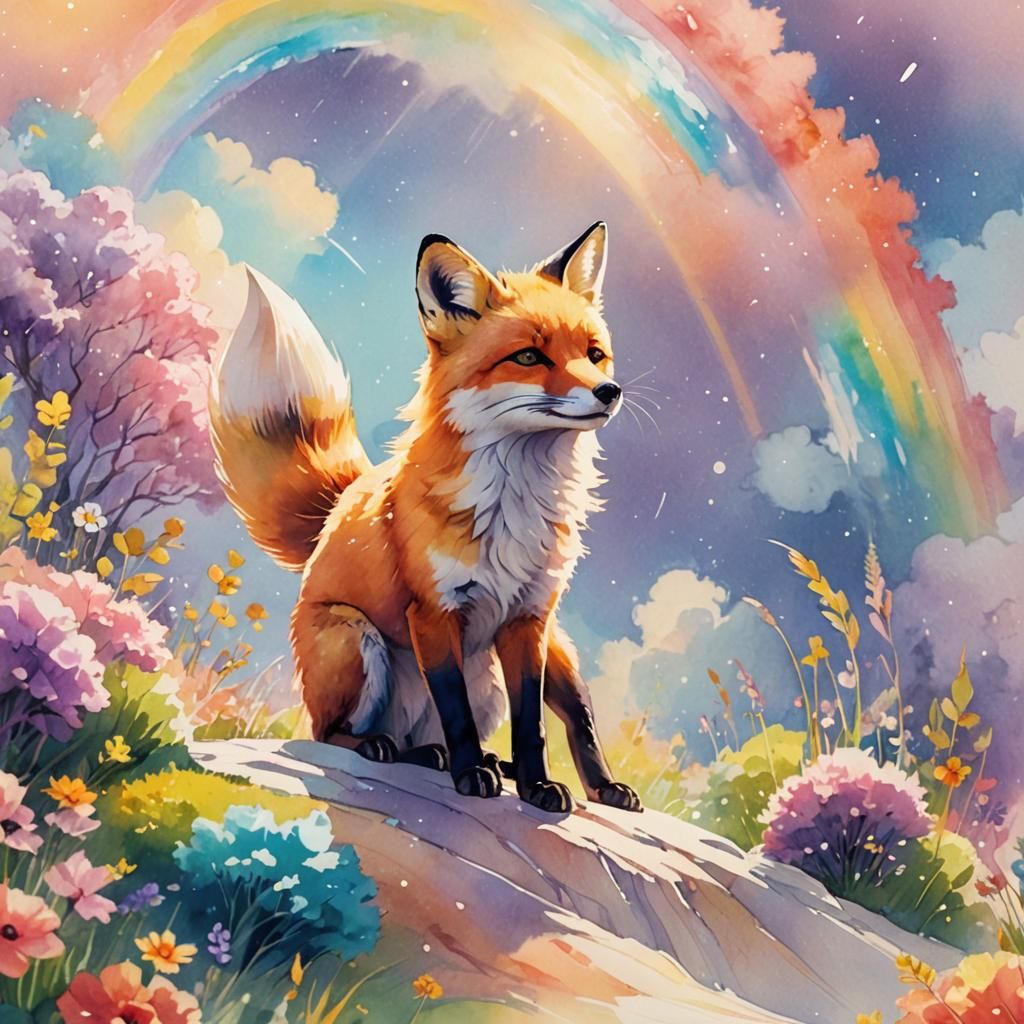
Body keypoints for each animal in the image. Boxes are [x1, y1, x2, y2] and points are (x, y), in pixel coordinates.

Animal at [209, 221, 641, 813]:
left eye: (595, 355)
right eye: (529, 357)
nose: (609, 391)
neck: (513, 507)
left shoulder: (528, 619)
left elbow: (533, 726)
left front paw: (536, 787)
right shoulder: (433, 613)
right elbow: (455, 712)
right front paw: (471, 776)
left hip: (529, 660)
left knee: (575, 715)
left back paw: (572, 781)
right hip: (356, 639)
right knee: (335, 734)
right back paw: (402, 751)